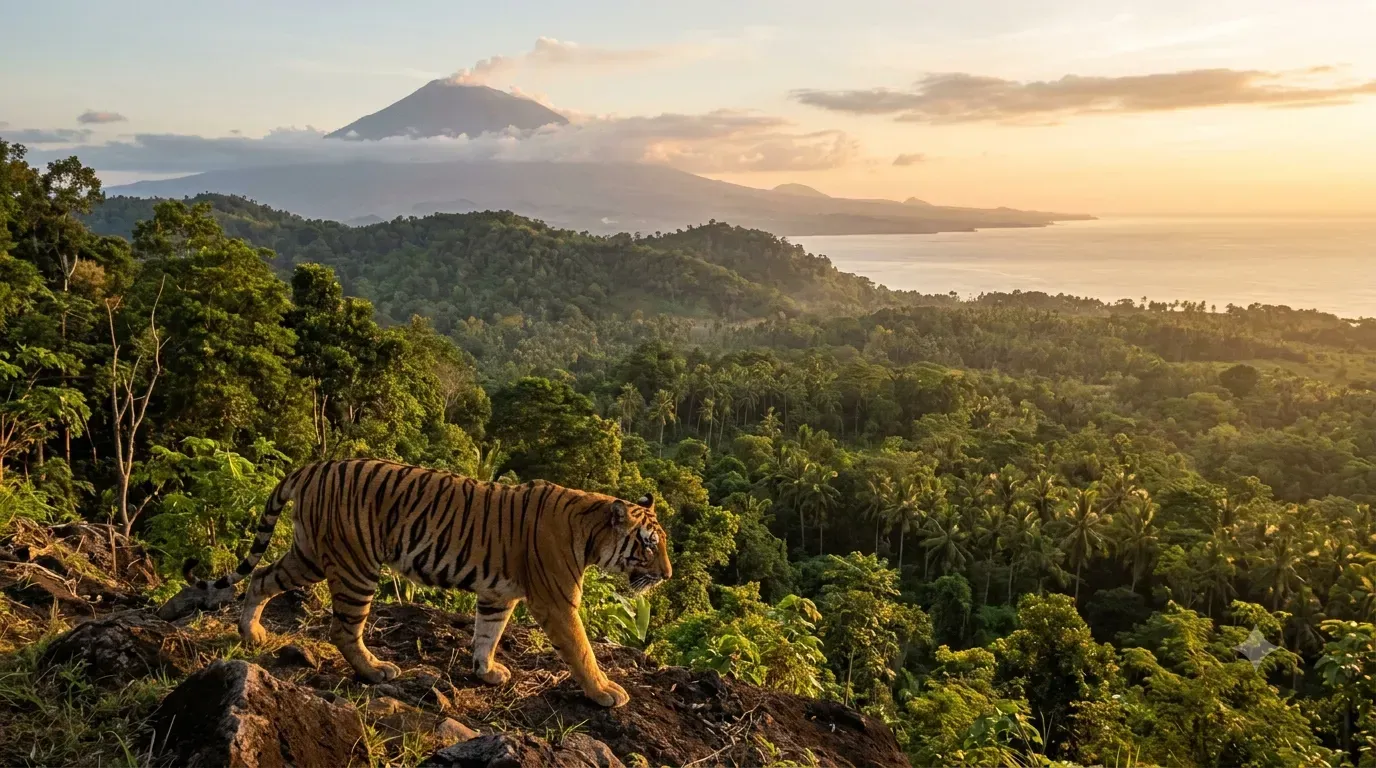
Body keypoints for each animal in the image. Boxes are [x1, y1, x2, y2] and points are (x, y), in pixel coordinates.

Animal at [185, 458, 671, 708]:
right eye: (648, 546)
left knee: (261, 577)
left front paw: (486, 672)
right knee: (343, 628)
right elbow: (582, 650)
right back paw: (375, 670)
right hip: (356, 565)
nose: (667, 576)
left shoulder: (497, 595)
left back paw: (251, 632)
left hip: (309, 553)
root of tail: (316, 466)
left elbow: (487, 634)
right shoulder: (556, 601)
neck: (591, 530)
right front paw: (605, 691)